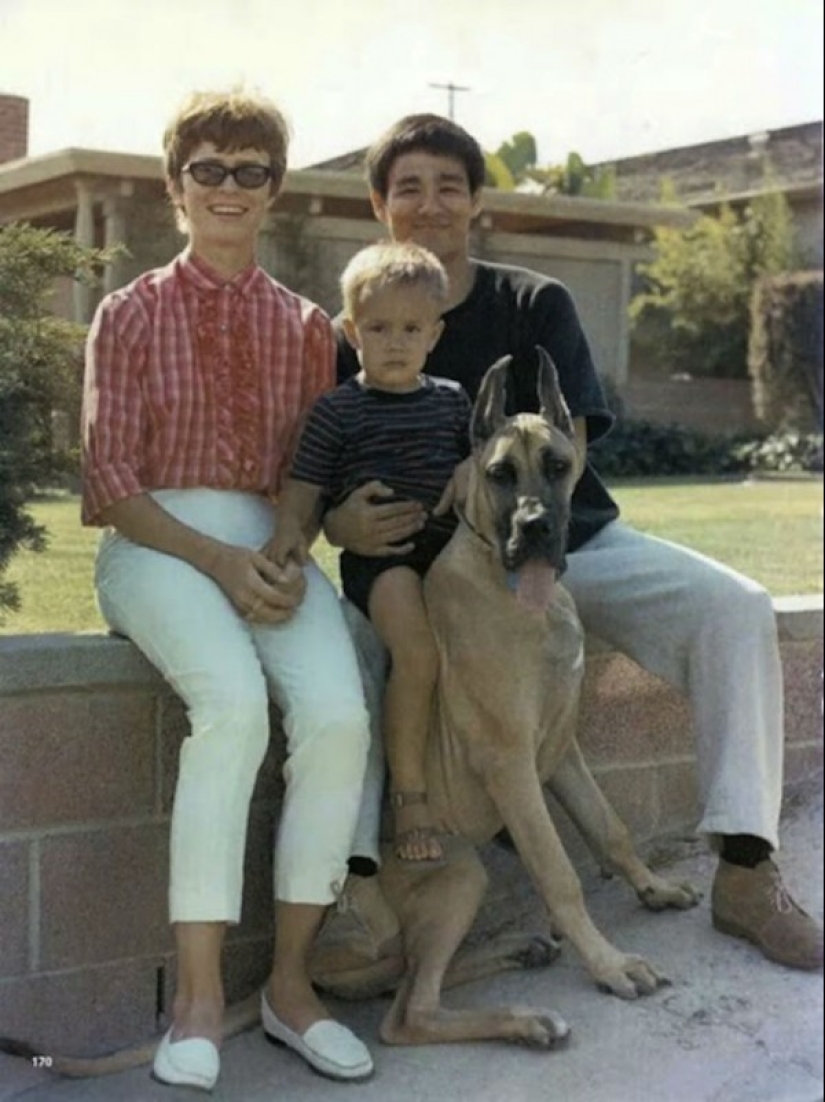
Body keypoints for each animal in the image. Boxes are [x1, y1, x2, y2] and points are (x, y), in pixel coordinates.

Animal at [0, 350, 696, 1075]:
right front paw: (610, 964)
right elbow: (559, 871)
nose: (534, 529)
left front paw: (651, 887)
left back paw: (515, 950)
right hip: (455, 876)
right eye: (500, 474)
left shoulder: (559, 750)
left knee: (409, 978)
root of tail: (301, 965)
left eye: (558, 464)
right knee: (407, 1012)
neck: (503, 578)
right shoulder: (511, 761)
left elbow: (609, 826)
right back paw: (525, 1018)